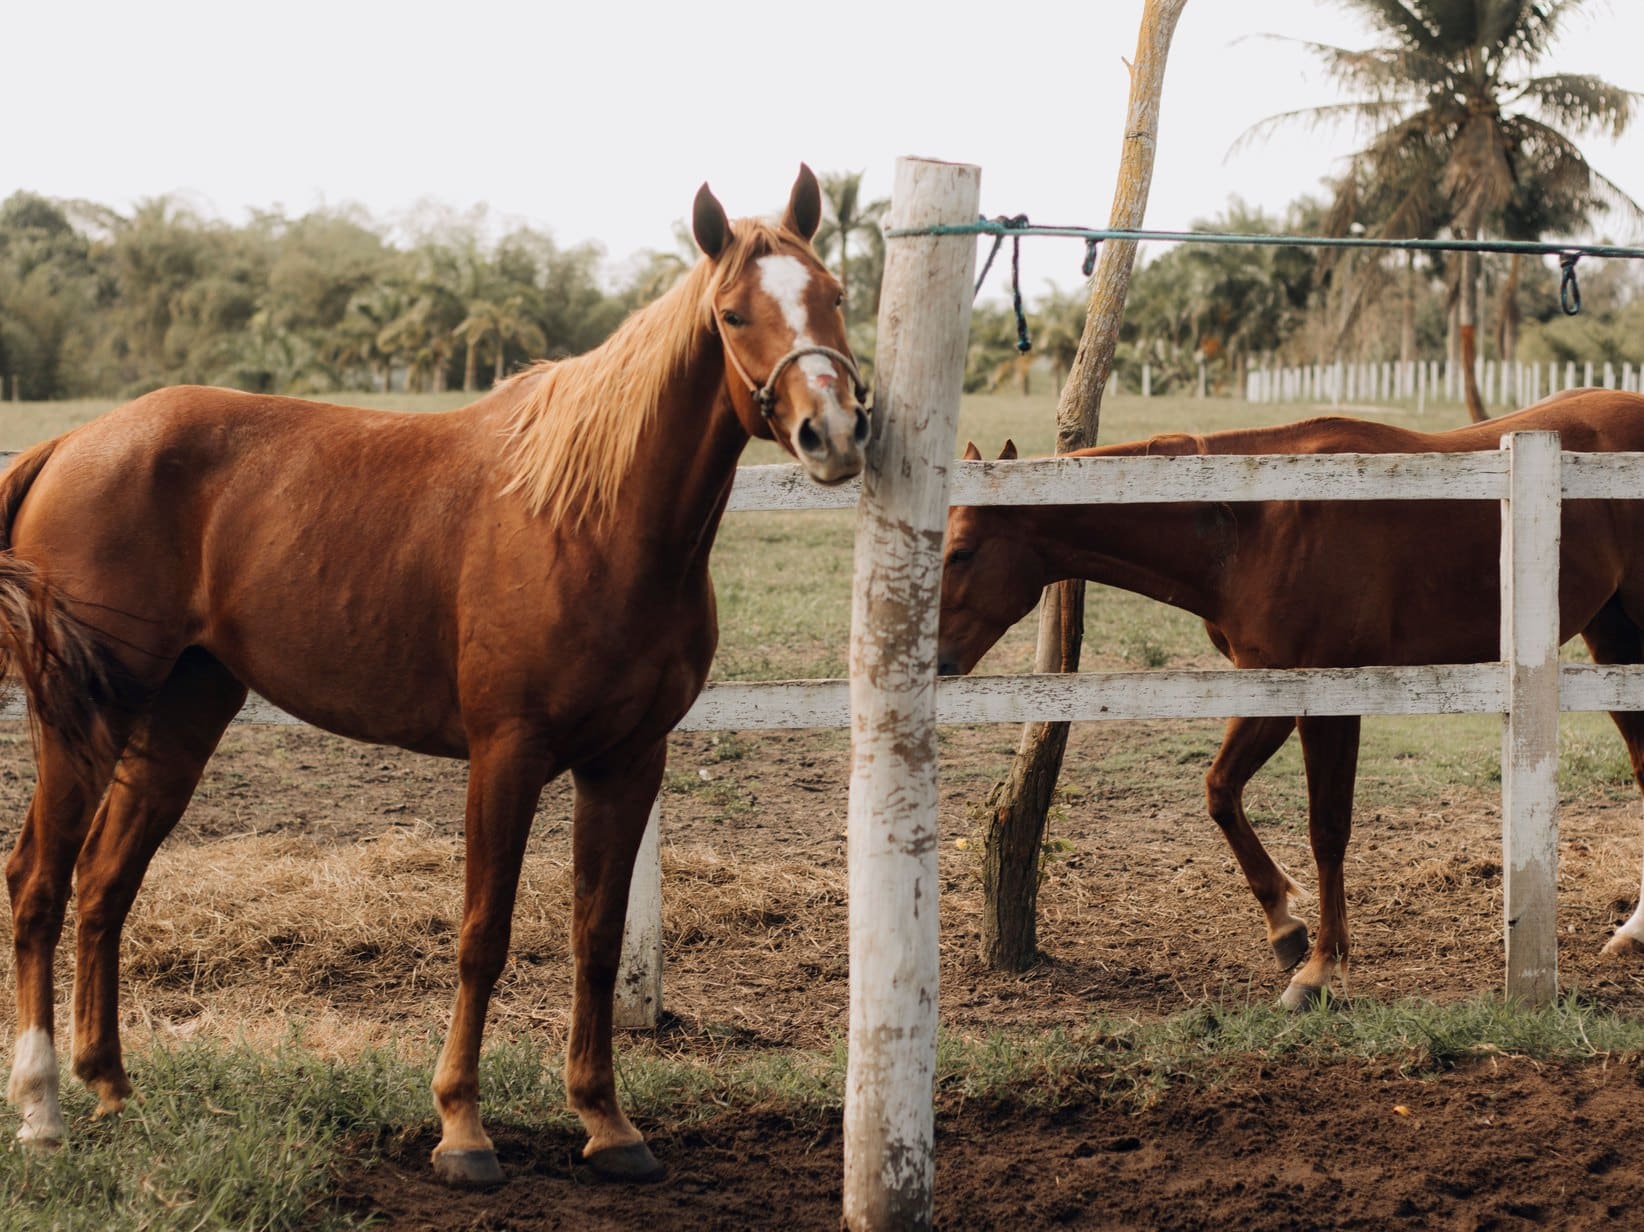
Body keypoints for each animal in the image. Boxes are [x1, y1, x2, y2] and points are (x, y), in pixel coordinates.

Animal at [0, 166, 867, 1186]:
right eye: (733, 313)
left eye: (836, 295)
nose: (833, 431)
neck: (591, 519)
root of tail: (70, 445)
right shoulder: (507, 755)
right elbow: (483, 936)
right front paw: (462, 1128)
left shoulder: (627, 762)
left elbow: (597, 939)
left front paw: (607, 1122)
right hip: (82, 720)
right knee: (39, 881)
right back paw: (41, 1108)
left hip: (179, 718)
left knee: (105, 884)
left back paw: (109, 1087)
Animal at [937, 390, 1644, 1009]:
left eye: (960, 552)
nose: (936, 661)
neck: (1256, 520)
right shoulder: (1269, 687)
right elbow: (1220, 791)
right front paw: (1284, 926)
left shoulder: (1324, 695)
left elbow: (1327, 829)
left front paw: (1320, 970)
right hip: (1612, 640)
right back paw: (1632, 932)